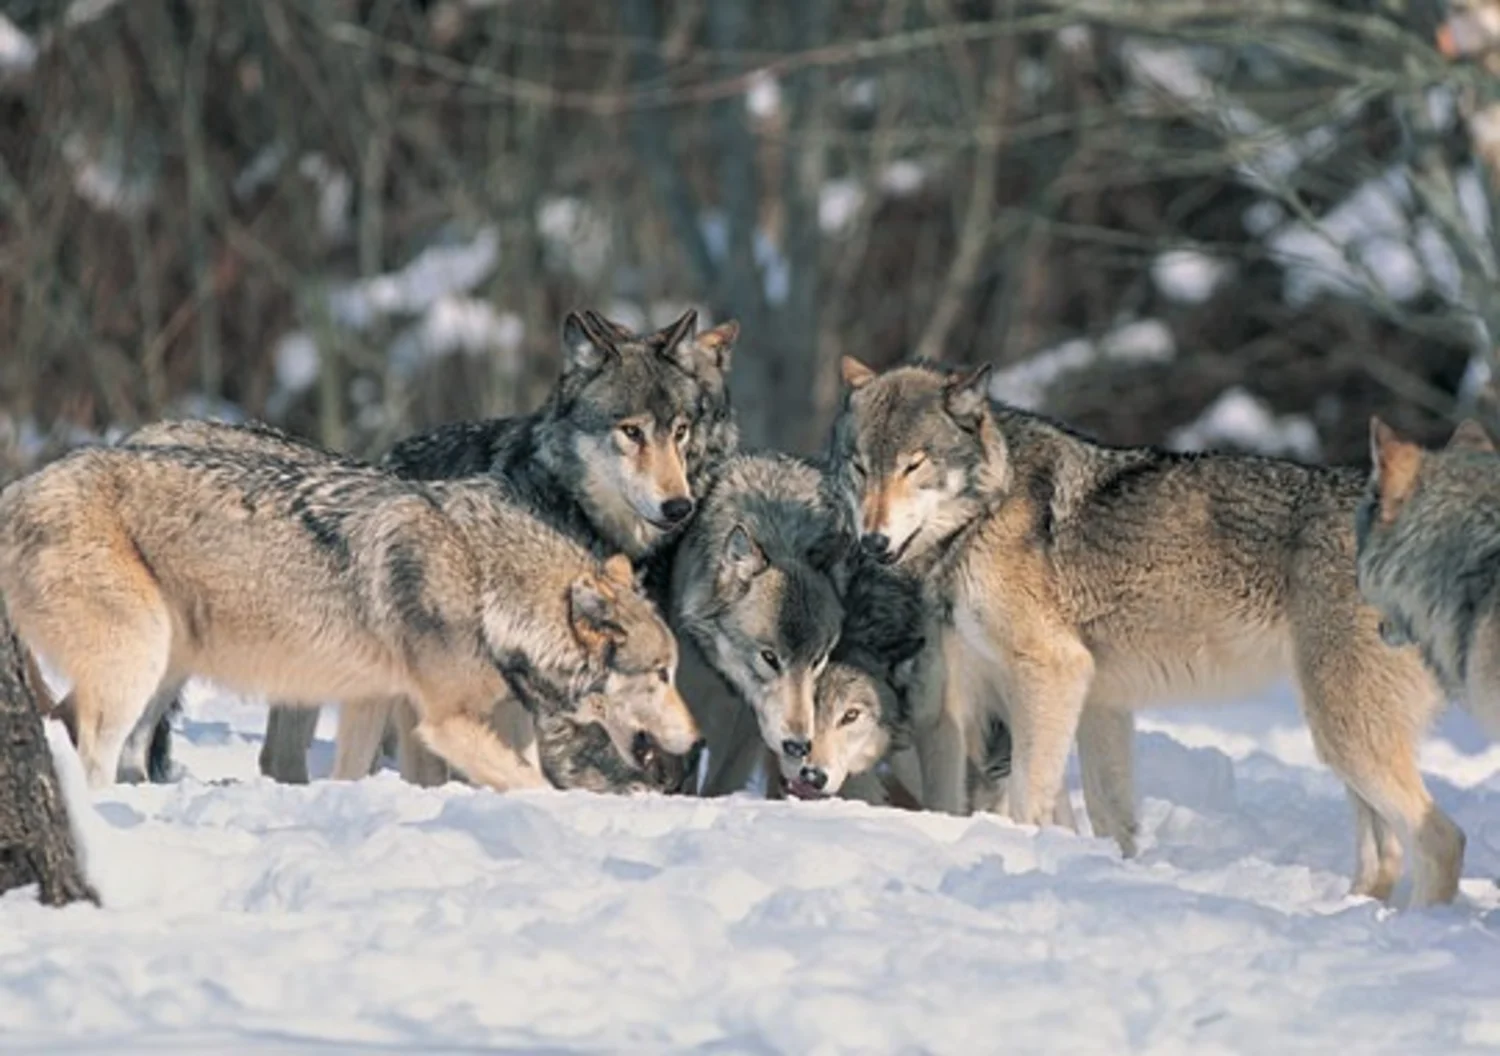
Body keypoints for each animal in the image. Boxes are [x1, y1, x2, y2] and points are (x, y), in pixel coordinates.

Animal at [0, 442, 701, 791]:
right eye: (662, 675)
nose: (697, 742)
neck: (486, 584)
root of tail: (19, 488)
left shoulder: (375, 700)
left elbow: (352, 774)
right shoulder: (443, 722)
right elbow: (535, 785)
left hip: (161, 671)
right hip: (139, 662)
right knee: (90, 758)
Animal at [828, 356, 1464, 906]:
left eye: (914, 465)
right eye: (860, 468)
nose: (873, 542)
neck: (984, 513)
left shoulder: (1053, 673)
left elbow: (1030, 796)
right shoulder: (1093, 699)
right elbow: (1105, 817)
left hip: (1344, 732)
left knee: (1442, 839)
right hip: (1339, 737)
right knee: (1386, 856)